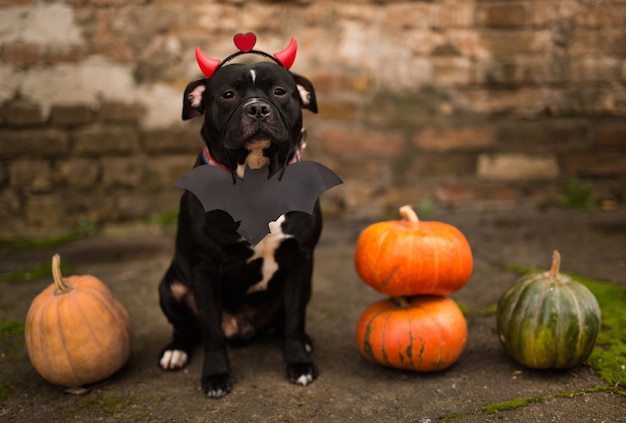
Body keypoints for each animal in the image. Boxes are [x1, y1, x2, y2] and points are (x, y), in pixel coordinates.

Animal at [157, 57, 322, 398]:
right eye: (228, 95)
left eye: (279, 91)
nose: (257, 108)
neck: (256, 181)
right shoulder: (204, 268)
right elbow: (211, 331)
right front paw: (216, 375)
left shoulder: (300, 259)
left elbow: (295, 319)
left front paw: (298, 362)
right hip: (170, 287)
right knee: (186, 328)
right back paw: (176, 350)